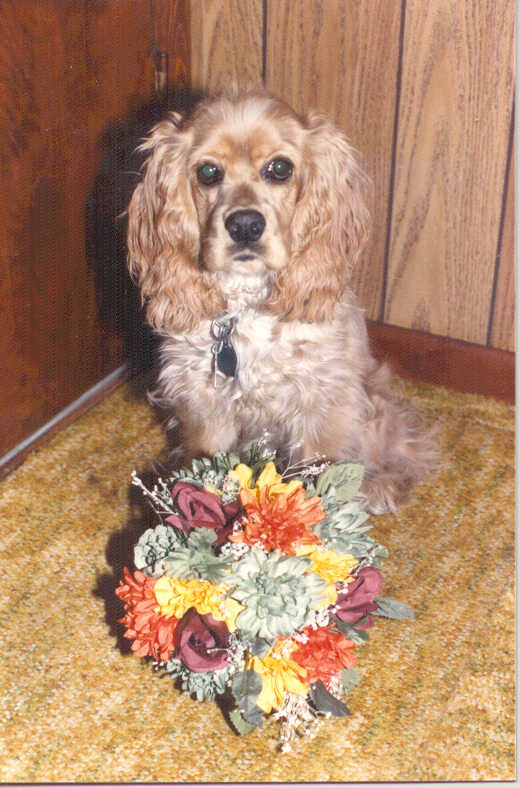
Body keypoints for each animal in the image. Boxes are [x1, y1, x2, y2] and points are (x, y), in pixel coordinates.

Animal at [126, 89, 434, 516]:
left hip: (373, 400)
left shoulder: (323, 404)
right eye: (208, 172)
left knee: (406, 447)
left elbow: (322, 478)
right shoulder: (205, 404)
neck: (248, 307)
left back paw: (381, 487)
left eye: (280, 168)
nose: (244, 225)